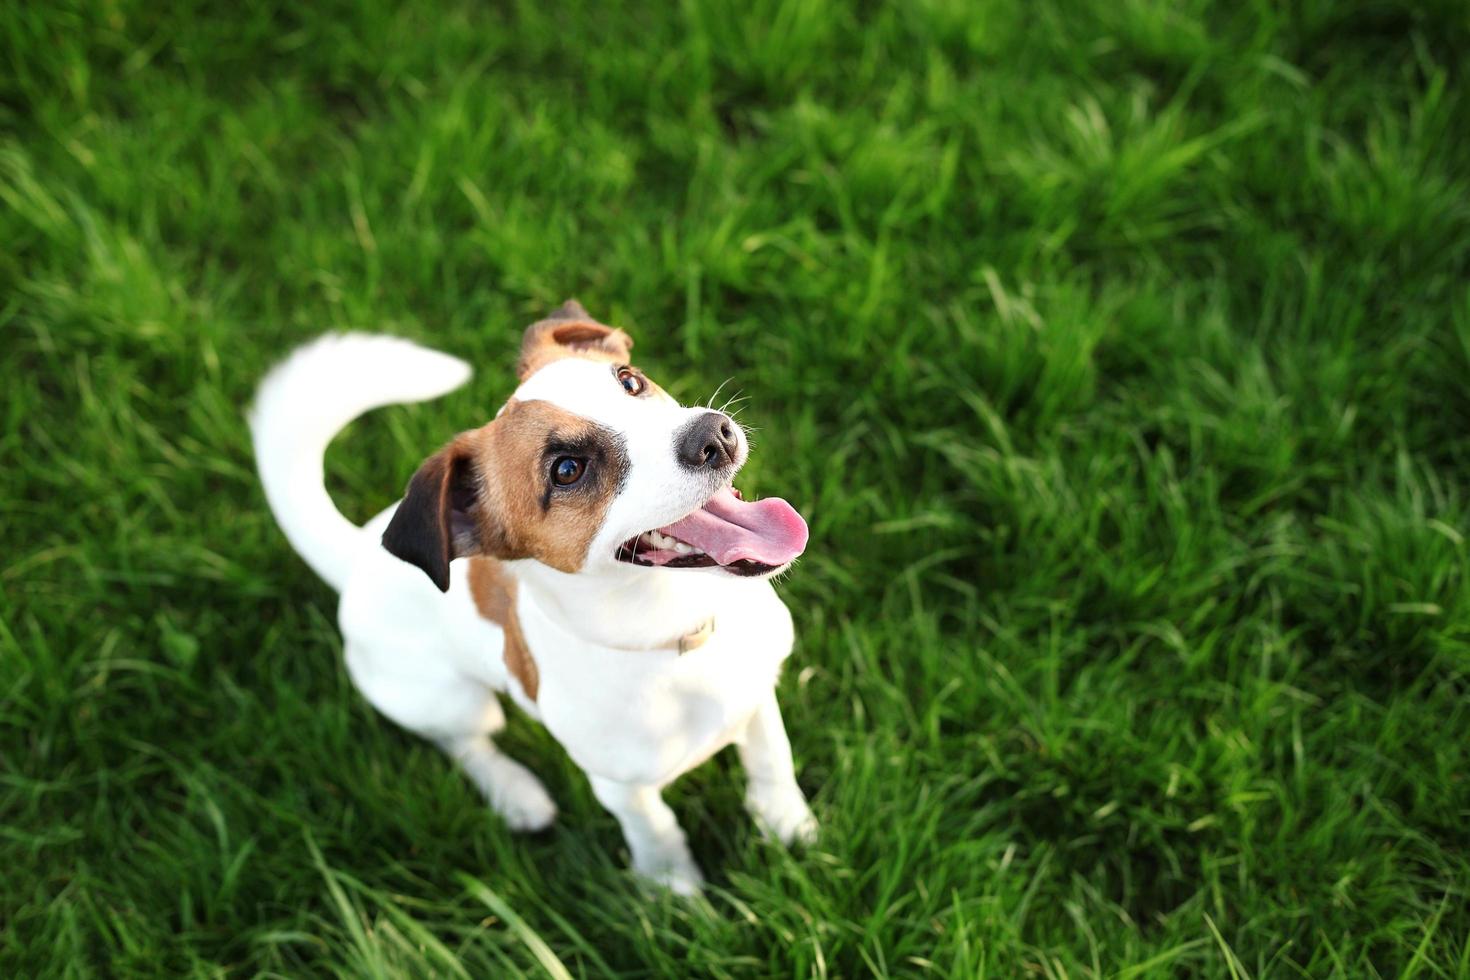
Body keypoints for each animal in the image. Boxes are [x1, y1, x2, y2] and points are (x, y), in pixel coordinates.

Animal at [251, 302, 817, 893]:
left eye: (629, 381)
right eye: (567, 469)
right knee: (465, 743)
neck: (677, 634)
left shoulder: (760, 690)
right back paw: (516, 793)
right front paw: (671, 888)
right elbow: (655, 827)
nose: (715, 433)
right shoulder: (619, 785)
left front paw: (786, 822)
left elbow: (772, 757)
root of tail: (357, 554)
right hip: (448, 699)